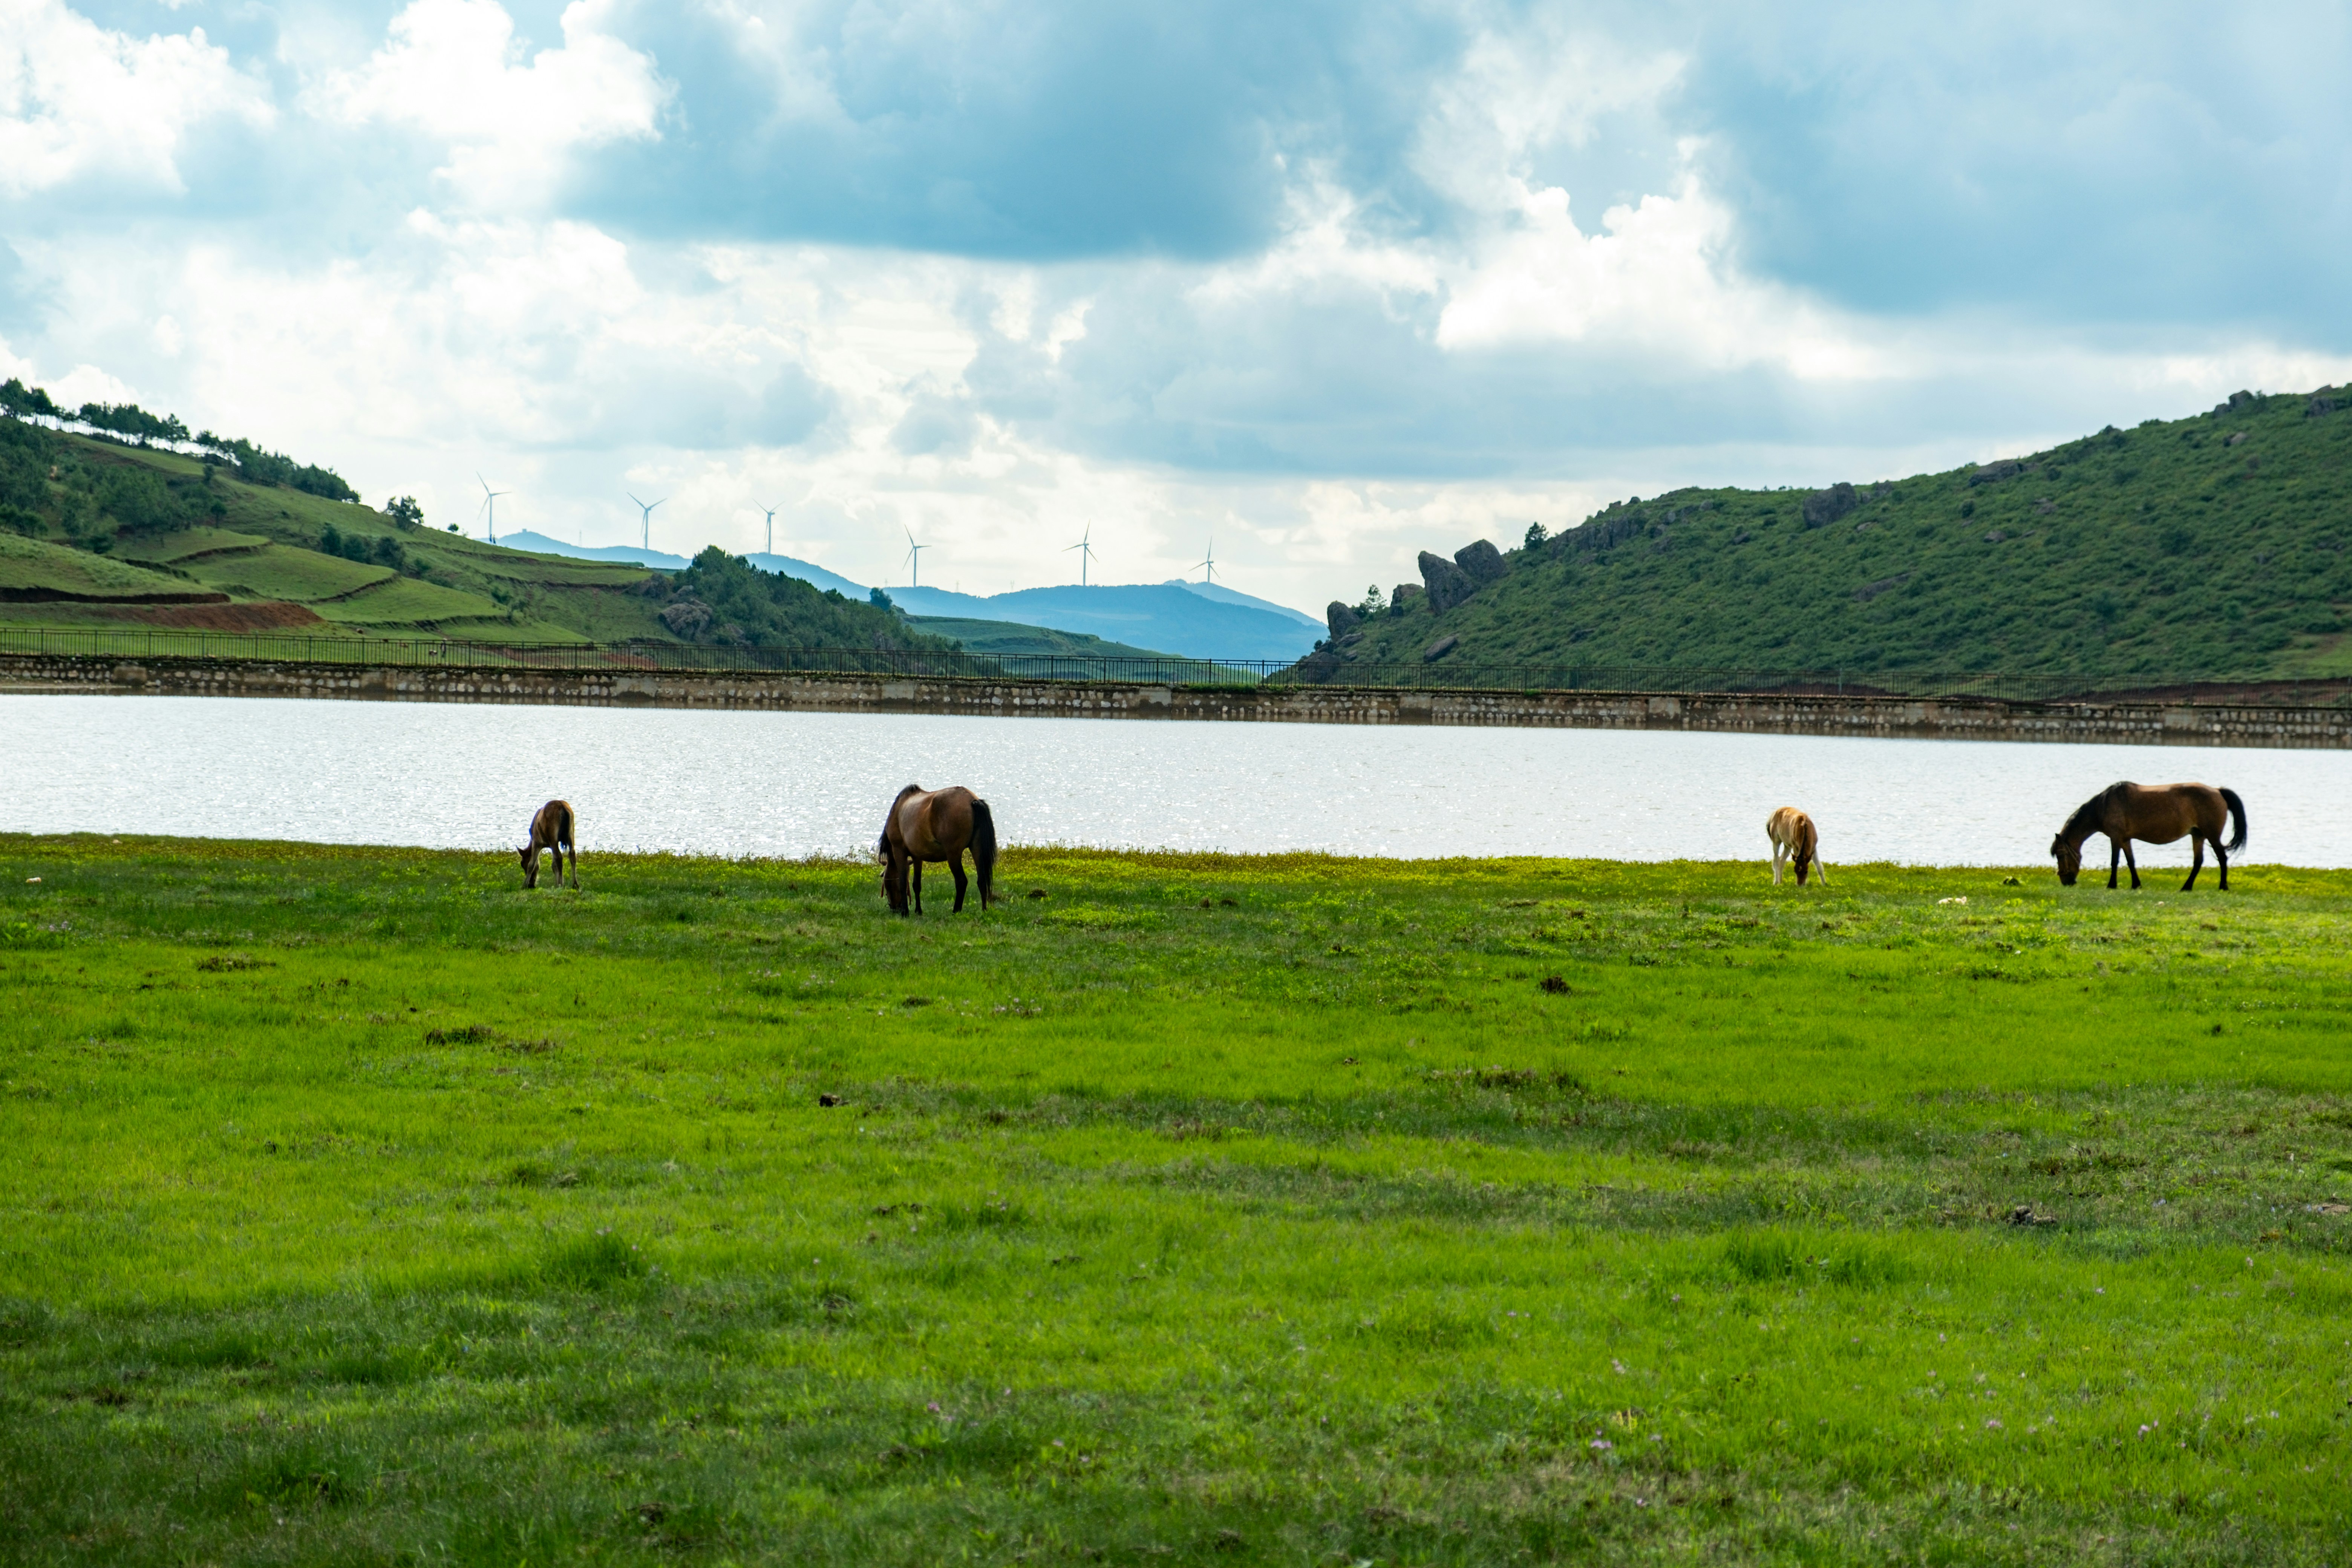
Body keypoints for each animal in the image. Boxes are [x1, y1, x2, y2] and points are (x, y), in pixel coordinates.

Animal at [518, 799, 577, 889]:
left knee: (559, 857)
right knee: (572, 855)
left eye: (523, 864)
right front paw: (556, 883)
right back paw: (575, 885)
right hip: (571, 833)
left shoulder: (537, 842)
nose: (531, 885)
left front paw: (524, 885)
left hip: (553, 836)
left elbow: (532, 864)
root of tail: (563, 807)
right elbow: (553, 866)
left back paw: (561, 885)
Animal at [878, 784, 997, 915]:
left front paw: (905, 913)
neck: (898, 810)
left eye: (887, 885)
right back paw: (984, 911)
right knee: (982, 881)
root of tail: (972, 800)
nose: (895, 908)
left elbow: (903, 882)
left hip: (953, 855)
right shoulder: (917, 857)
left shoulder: (899, 850)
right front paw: (918, 911)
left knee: (961, 881)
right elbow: (916, 885)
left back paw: (956, 911)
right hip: (977, 849)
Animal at [1766, 806, 1828, 886]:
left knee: (1782, 861)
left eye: (1806, 871)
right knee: (1776, 860)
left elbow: (1819, 866)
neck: (1804, 827)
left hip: (1788, 846)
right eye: (1795, 871)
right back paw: (1776, 882)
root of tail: (1773, 814)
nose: (1800, 885)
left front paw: (1824, 884)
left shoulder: (1814, 848)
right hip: (1776, 842)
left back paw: (1781, 882)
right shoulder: (1796, 848)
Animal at [2050, 781, 2246, 891]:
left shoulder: (2116, 838)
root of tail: (2218, 791)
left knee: (2222, 858)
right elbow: (2131, 862)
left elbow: (2115, 862)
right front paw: (2136, 885)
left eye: (2060, 855)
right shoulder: (2125, 840)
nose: (2066, 881)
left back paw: (2223, 886)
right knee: (2198, 862)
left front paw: (2112, 885)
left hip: (2212, 836)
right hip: (2198, 835)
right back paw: (2186, 887)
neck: (2104, 805)